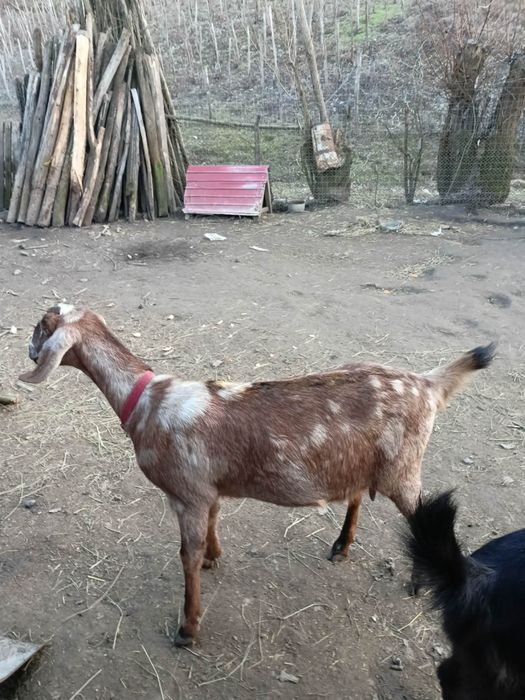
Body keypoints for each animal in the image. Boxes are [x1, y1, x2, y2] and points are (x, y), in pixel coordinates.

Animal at [19, 304, 495, 646]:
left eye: (42, 326)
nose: (27, 349)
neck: (147, 401)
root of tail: (428, 385)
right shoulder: (207, 489)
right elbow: (213, 525)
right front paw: (214, 556)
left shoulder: (186, 493)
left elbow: (186, 555)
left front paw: (188, 628)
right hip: (363, 461)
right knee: (360, 493)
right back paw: (341, 546)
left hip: (403, 467)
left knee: (421, 514)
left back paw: (419, 580)